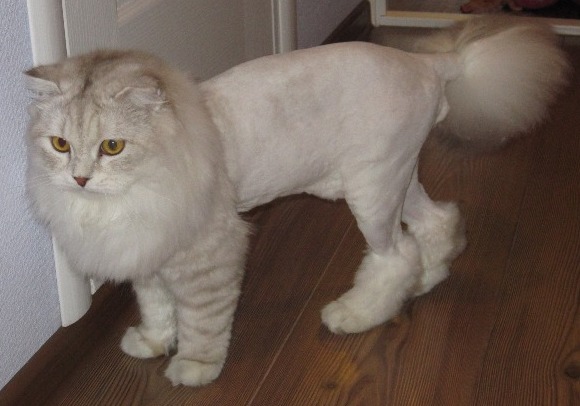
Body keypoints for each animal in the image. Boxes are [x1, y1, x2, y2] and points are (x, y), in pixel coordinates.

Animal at [24, 16, 569, 387]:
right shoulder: (149, 253)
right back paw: (426, 282)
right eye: (60, 144)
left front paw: (194, 368)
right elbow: (157, 307)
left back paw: (353, 315)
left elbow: (202, 321)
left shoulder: (209, 254)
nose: (79, 178)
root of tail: (428, 61)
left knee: (396, 256)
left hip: (371, 191)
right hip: (394, 180)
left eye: (112, 147)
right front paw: (155, 343)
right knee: (436, 226)